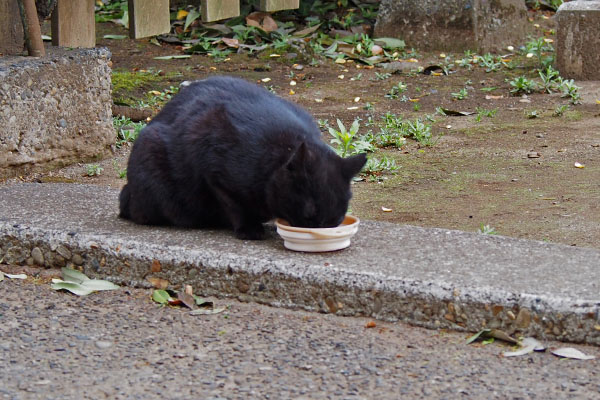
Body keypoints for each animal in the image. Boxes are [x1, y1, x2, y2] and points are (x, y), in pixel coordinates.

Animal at [119, 76, 366, 241]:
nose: (320, 231)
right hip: (152, 155)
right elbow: (235, 205)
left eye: (336, 219)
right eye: (309, 215)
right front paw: (250, 229)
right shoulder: (215, 175)